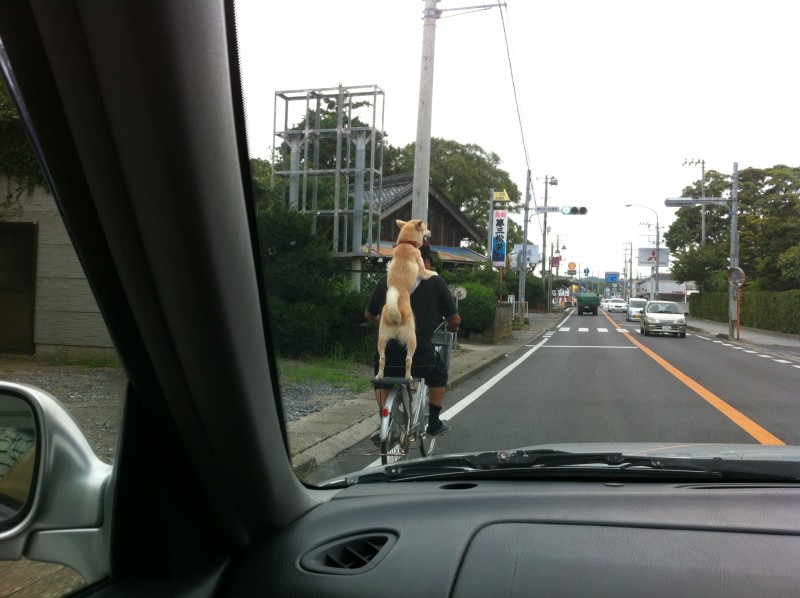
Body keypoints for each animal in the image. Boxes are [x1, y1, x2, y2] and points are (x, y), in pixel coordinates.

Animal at [376, 219, 438, 380]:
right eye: (426, 227)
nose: (430, 232)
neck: (406, 243)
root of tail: (395, 314)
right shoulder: (422, 271)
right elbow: (428, 272)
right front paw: (435, 273)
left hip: (382, 339)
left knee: (382, 359)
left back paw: (379, 375)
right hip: (412, 339)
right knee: (409, 359)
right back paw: (408, 376)